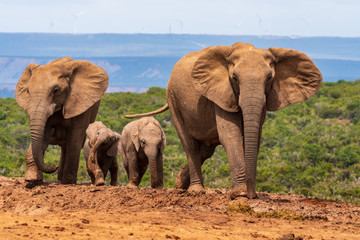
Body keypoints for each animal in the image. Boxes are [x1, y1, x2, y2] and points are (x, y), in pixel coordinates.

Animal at [15, 57, 108, 185]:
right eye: (28, 91)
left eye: (56, 90)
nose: (54, 165)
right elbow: (43, 135)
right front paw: (32, 179)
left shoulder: (80, 103)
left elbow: (75, 137)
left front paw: (69, 182)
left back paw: (63, 180)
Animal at [125, 42, 322, 198]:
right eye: (234, 78)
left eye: (269, 78)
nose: (253, 195)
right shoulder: (221, 93)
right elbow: (230, 135)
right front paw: (240, 193)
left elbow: (254, 137)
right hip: (173, 99)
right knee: (189, 144)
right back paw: (195, 190)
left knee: (206, 150)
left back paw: (179, 184)